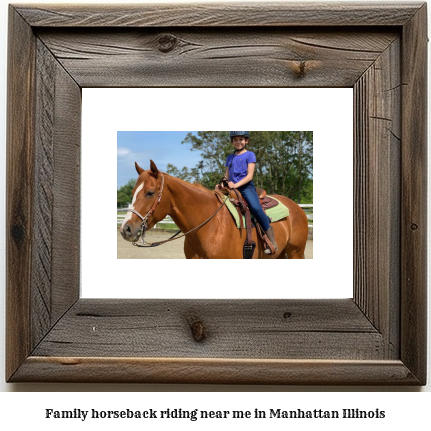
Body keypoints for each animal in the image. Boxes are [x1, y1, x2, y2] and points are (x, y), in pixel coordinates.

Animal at [119, 160, 310, 258]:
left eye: (150, 193)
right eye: (133, 192)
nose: (125, 229)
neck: (210, 227)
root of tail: (297, 208)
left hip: (296, 252)